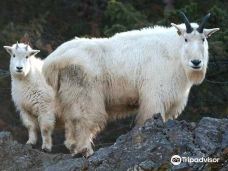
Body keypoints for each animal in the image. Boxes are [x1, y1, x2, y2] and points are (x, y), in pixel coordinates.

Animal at [42, 12, 219, 157]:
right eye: (186, 39)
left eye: (203, 39)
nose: (196, 62)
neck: (174, 52)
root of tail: (52, 62)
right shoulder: (155, 95)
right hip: (85, 95)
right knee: (83, 119)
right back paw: (85, 150)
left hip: (67, 97)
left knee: (71, 121)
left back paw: (74, 148)